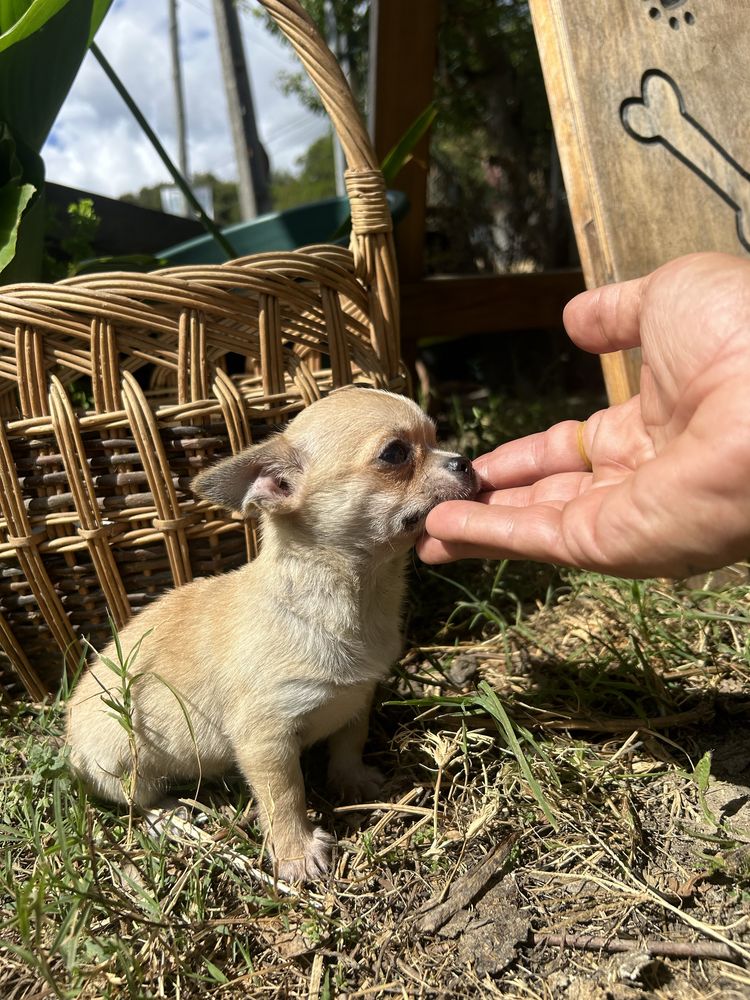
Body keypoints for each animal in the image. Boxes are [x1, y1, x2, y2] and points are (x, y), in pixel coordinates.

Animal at [64, 386, 476, 880]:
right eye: (394, 454)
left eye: (436, 437)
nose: (465, 461)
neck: (354, 597)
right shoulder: (266, 739)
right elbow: (285, 797)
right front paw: (296, 852)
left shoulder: (357, 699)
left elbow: (349, 743)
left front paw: (352, 781)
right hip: (123, 763)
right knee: (136, 800)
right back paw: (171, 815)